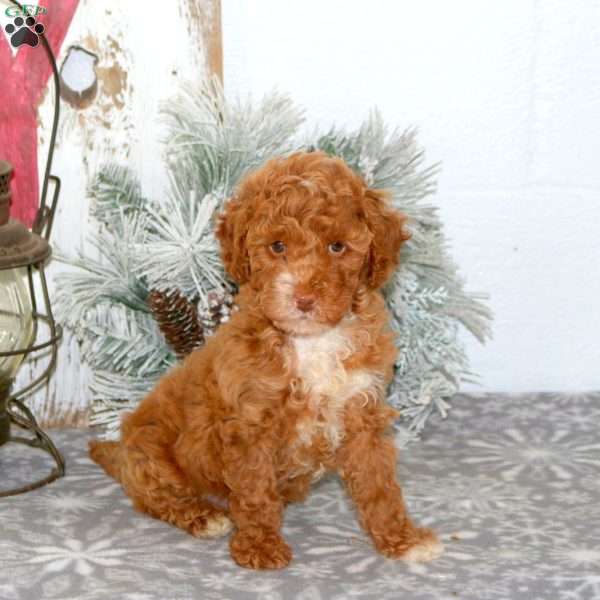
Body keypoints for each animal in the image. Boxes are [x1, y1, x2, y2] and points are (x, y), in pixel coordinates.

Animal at [90, 150, 446, 568]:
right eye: (277, 247)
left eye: (337, 247)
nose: (303, 298)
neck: (311, 340)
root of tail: (121, 451)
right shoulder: (249, 424)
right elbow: (255, 489)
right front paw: (259, 545)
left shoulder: (363, 413)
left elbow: (379, 484)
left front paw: (402, 539)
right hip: (151, 454)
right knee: (155, 497)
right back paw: (204, 516)